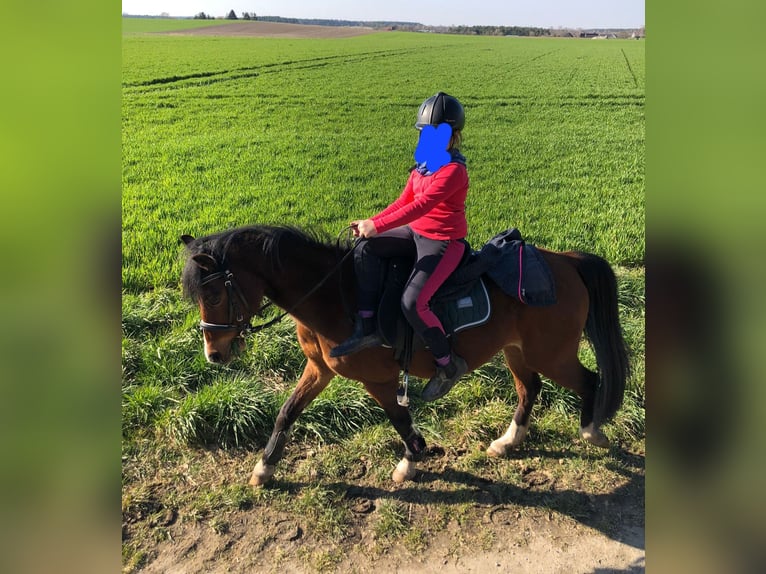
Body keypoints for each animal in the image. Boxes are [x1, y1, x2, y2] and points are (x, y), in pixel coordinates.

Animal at [180, 225, 632, 486]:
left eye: (214, 293)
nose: (214, 354)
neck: (335, 295)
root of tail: (567, 262)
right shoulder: (318, 368)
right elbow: (286, 412)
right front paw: (265, 467)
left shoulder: (376, 379)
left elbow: (399, 420)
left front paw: (411, 460)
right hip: (517, 350)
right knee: (530, 389)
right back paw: (508, 441)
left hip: (550, 353)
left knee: (589, 380)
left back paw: (591, 431)